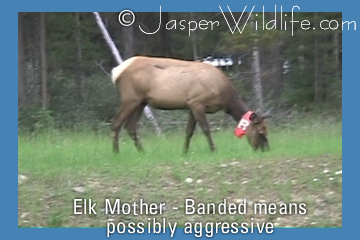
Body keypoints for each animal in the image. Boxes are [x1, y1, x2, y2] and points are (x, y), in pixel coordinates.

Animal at [109, 55, 270, 153]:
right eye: (261, 132)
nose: (266, 149)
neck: (225, 98)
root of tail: (115, 72)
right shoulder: (197, 102)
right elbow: (206, 129)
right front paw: (214, 150)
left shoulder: (191, 105)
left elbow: (189, 131)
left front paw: (184, 152)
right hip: (130, 98)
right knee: (116, 122)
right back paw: (116, 152)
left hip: (141, 102)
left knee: (130, 126)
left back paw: (142, 152)